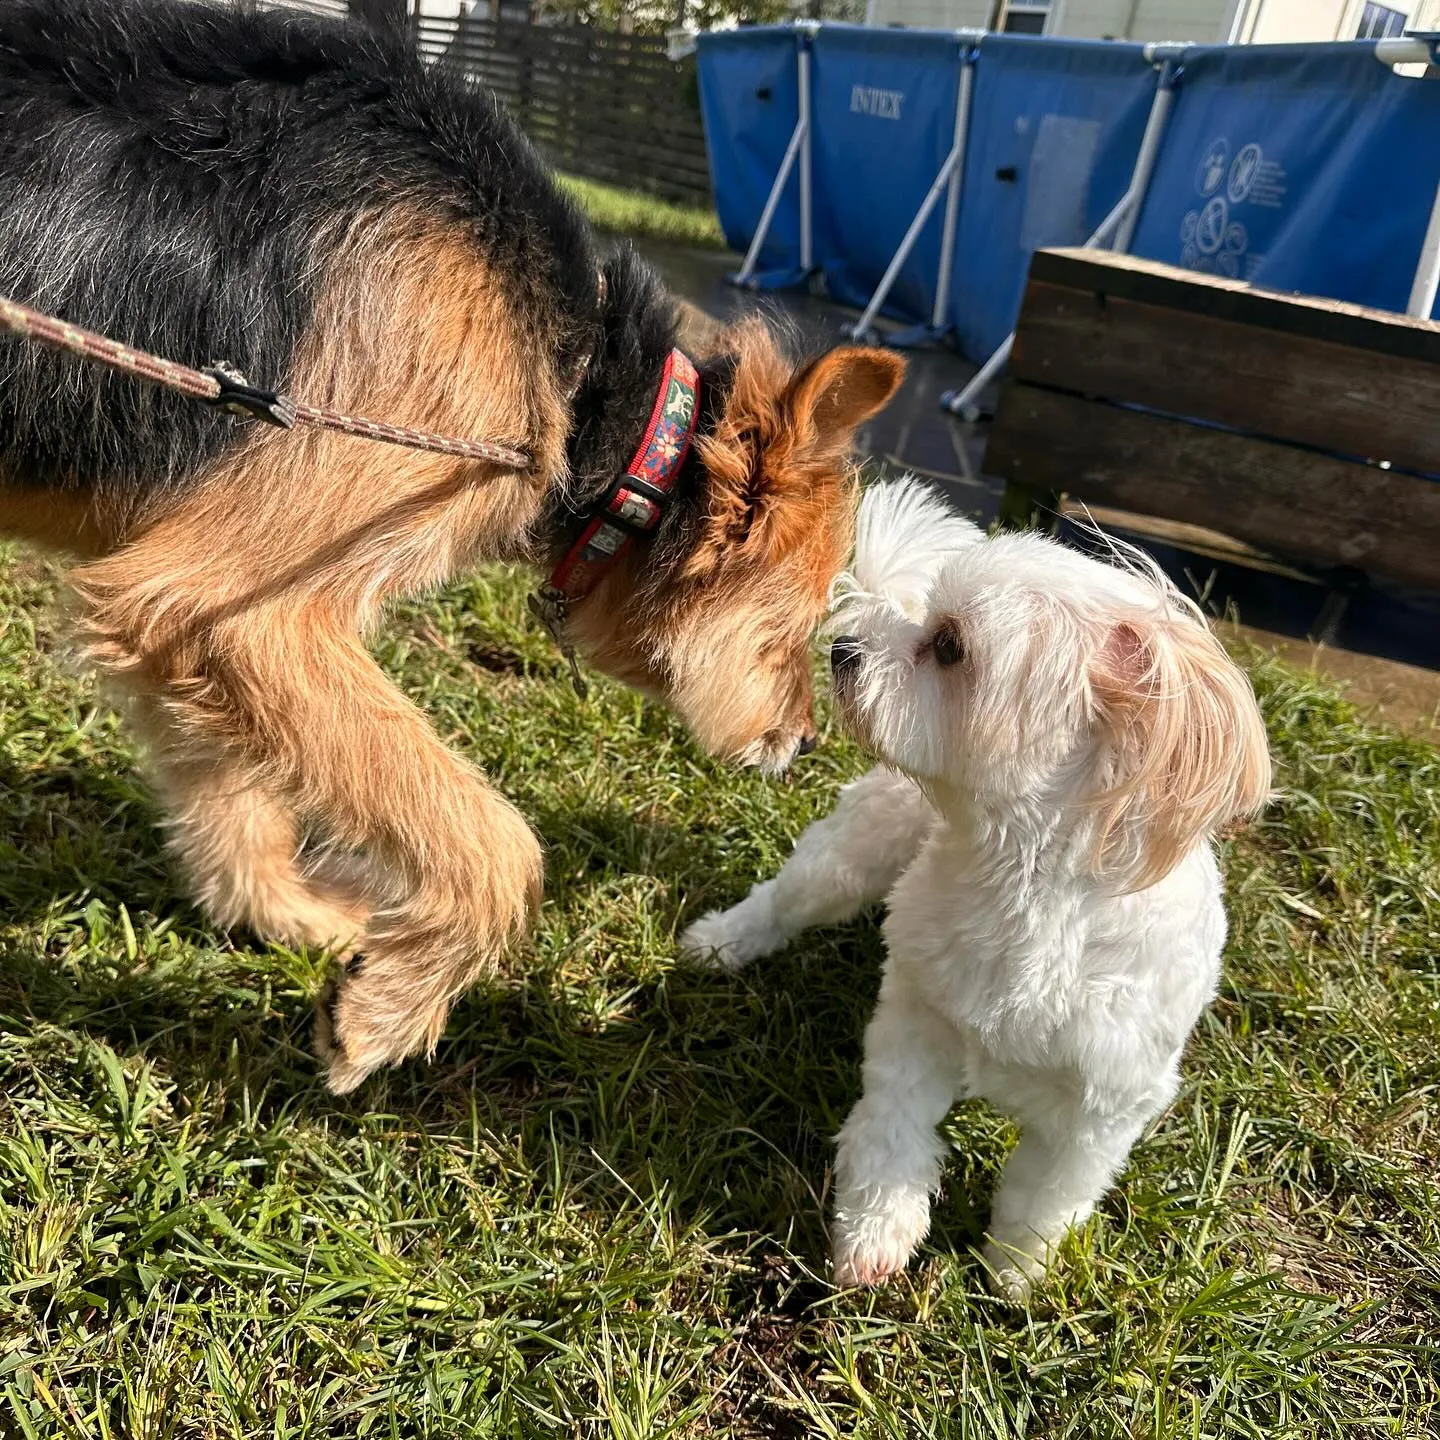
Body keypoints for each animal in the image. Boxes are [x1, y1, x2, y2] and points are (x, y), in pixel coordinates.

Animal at [0, 0, 898, 1082]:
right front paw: (388, 1009)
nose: (805, 743)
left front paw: (288, 916)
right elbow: (494, 838)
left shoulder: (176, 613)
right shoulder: (236, 606)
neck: (590, 390)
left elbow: (229, 791)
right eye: (792, 627)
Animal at [679, 483, 1267, 1307]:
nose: (844, 650)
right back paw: (725, 942)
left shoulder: (1103, 1109)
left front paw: (1018, 1273)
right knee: (790, 896)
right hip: (856, 848)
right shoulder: (918, 1019)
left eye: (950, 645)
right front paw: (875, 1239)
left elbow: (1047, 1196)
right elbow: (892, 1135)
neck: (1021, 882)